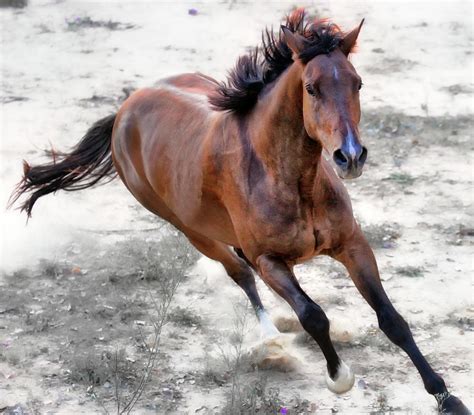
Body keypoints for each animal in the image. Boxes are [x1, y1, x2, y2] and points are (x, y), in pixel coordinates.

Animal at [10, 9, 470, 415]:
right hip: (191, 230)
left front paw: (447, 399)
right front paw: (339, 377)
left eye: (358, 83)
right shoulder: (272, 261)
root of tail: (123, 111)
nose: (350, 156)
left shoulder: (351, 244)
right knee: (240, 273)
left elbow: (391, 319)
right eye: (311, 88)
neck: (291, 178)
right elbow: (312, 315)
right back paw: (271, 340)